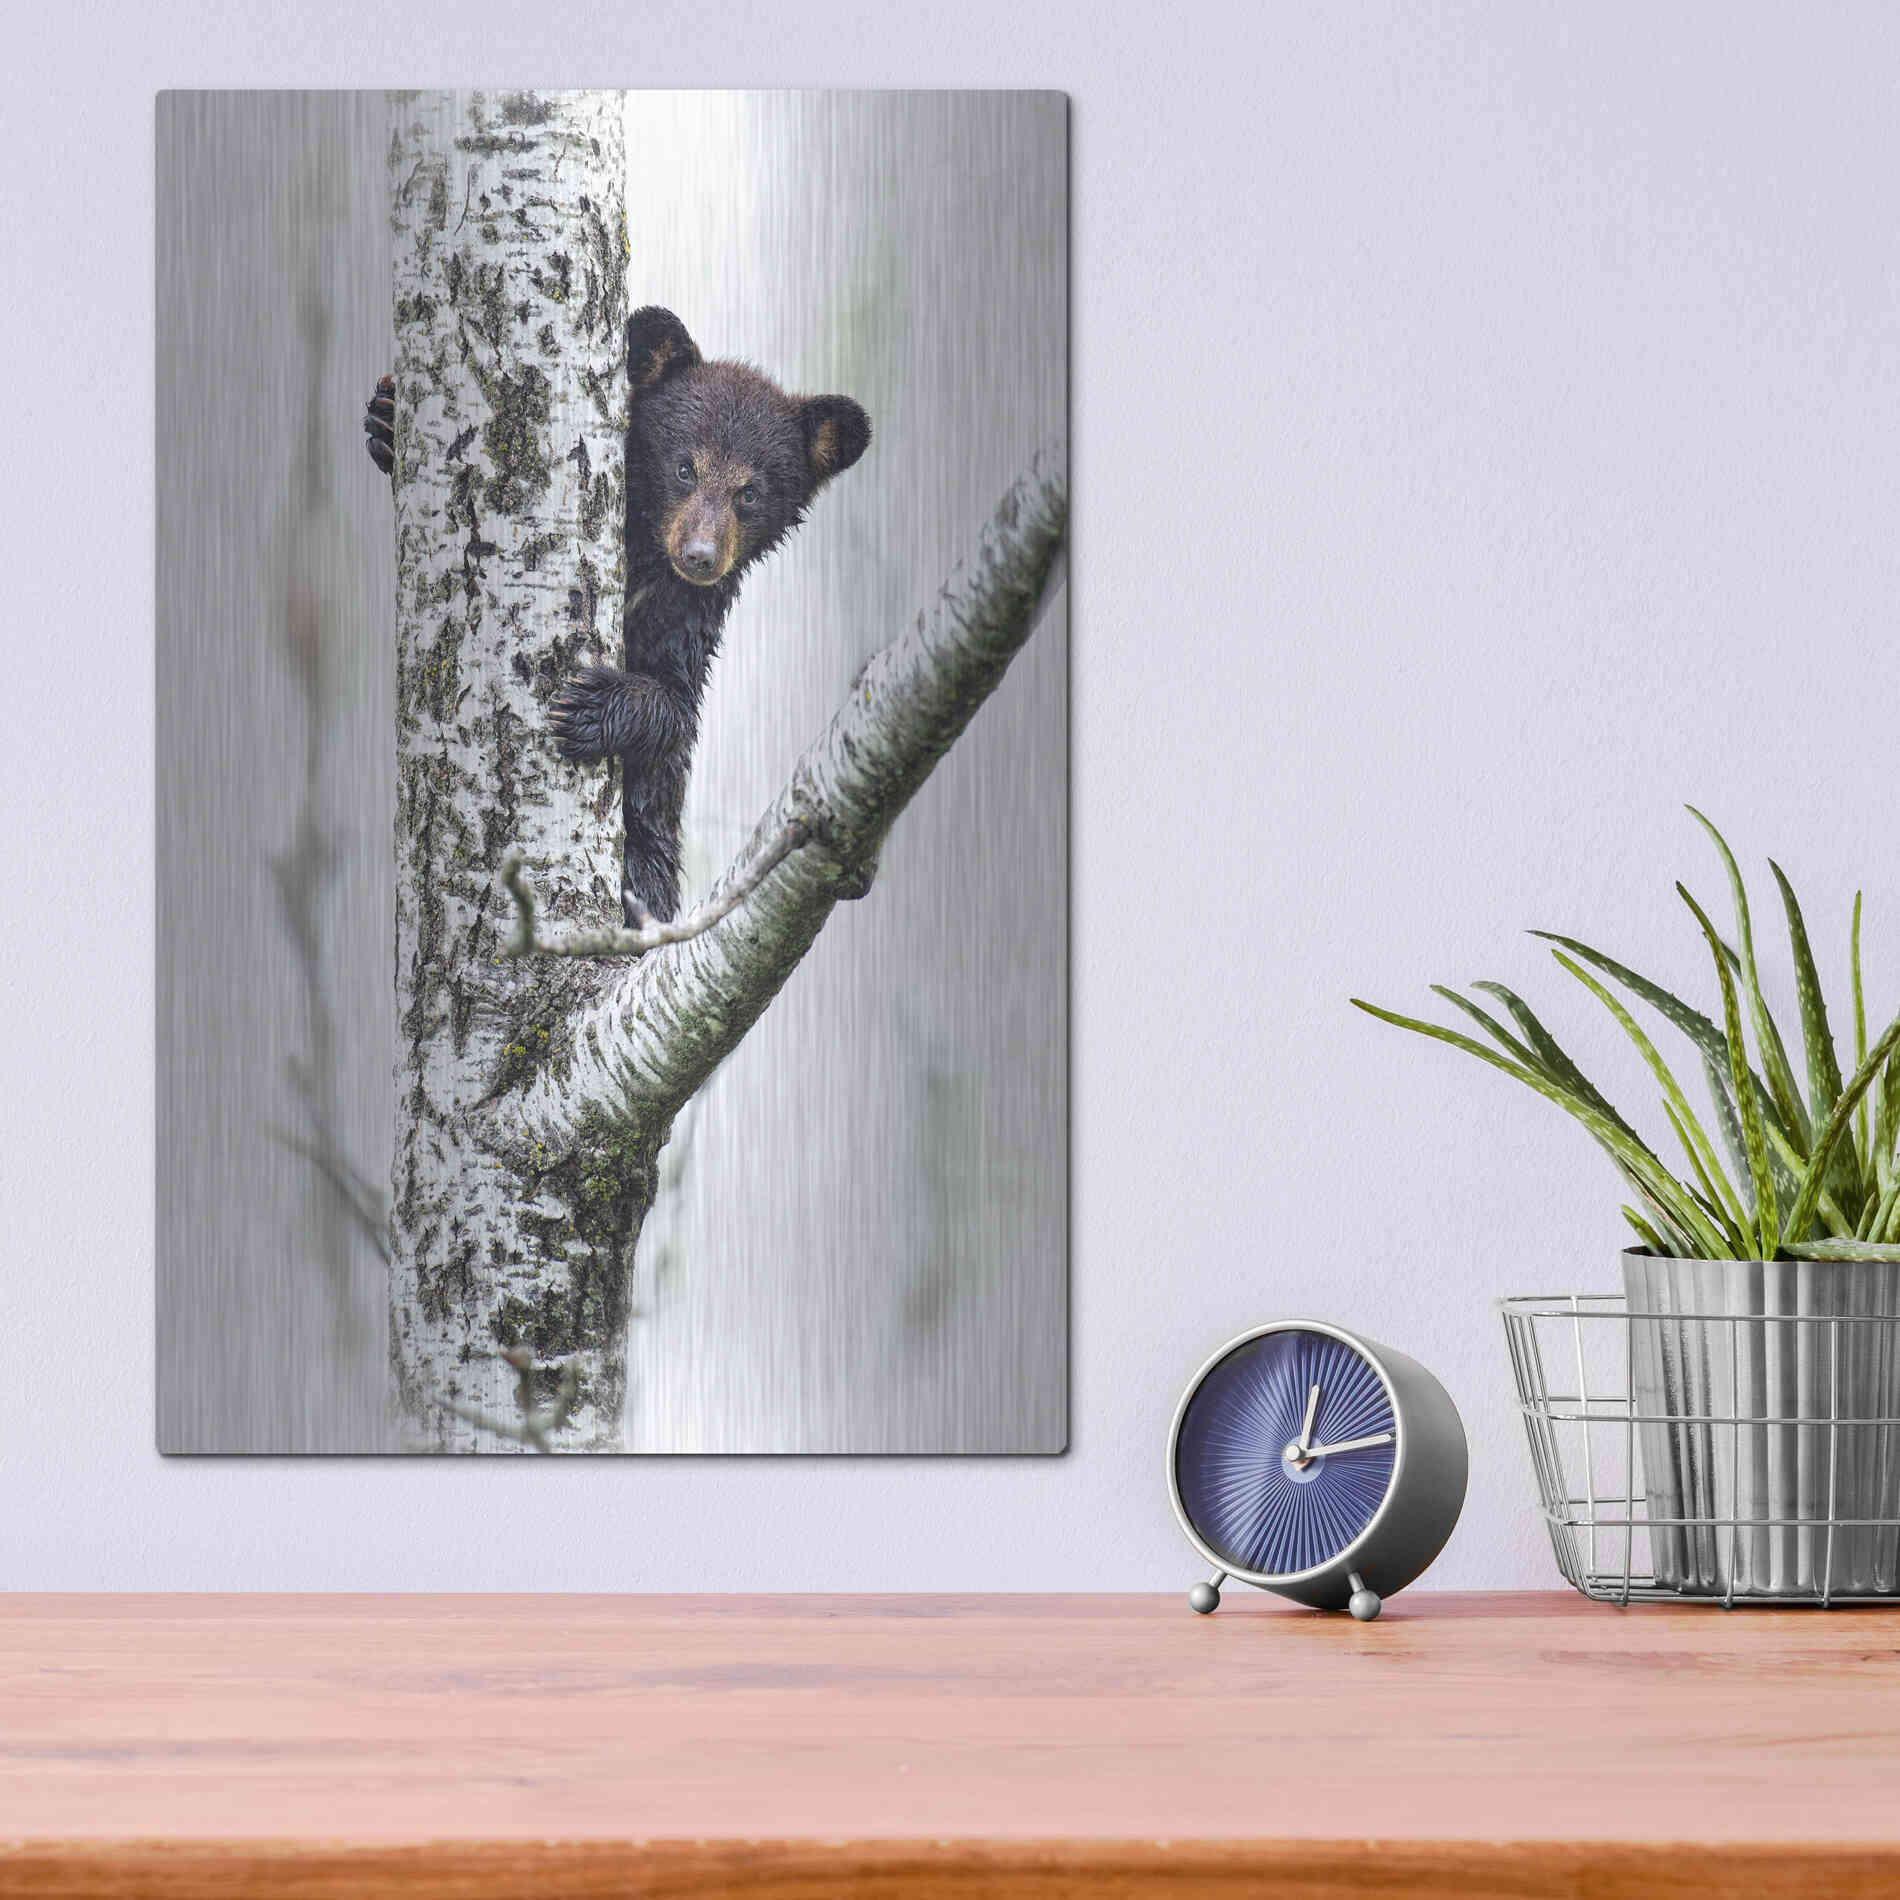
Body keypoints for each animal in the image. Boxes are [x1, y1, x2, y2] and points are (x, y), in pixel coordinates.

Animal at [363, 306, 871, 924]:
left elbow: (675, 706)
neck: (647, 558)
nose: (699, 556)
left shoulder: (684, 618)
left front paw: (591, 705)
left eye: (750, 492)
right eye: (685, 468)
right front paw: (385, 419)